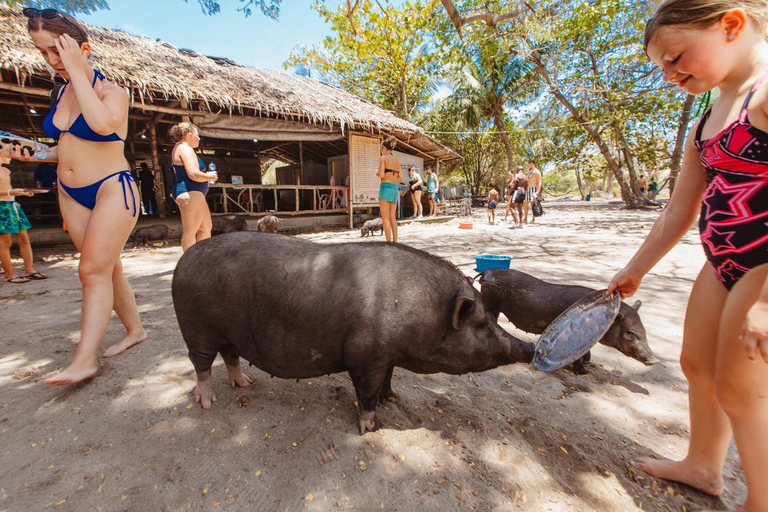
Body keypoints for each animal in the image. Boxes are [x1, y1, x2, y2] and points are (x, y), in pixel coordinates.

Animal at [173, 234, 536, 434]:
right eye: (483, 324)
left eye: (490, 317)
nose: (530, 349)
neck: (422, 308)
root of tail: (183, 260)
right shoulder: (364, 355)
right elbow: (367, 392)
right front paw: (369, 428)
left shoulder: (388, 354)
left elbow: (388, 380)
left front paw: (394, 398)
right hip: (196, 328)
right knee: (201, 364)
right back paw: (207, 403)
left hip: (228, 332)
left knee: (230, 355)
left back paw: (245, 384)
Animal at [476, 270, 656, 374]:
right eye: (630, 332)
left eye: (644, 331)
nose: (654, 360)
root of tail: (487, 272)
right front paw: (583, 372)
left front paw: (589, 363)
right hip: (492, 302)